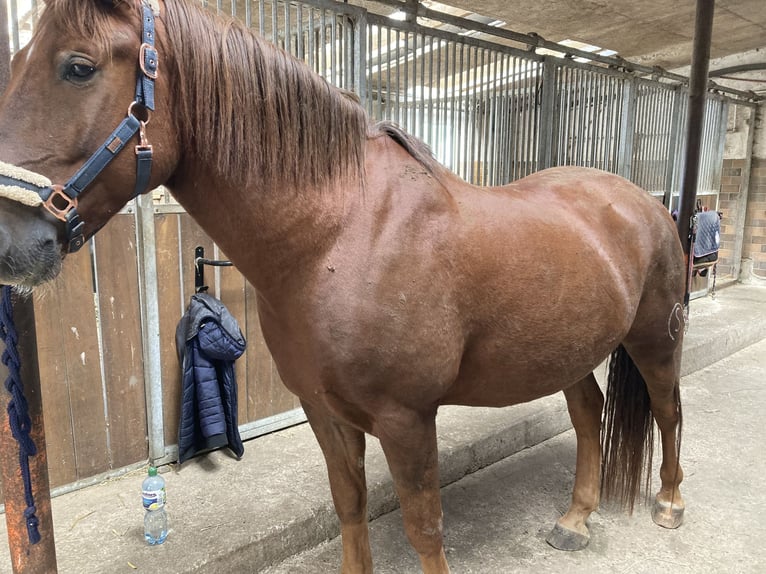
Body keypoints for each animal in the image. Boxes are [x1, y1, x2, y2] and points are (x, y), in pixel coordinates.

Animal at [0, 1, 685, 572]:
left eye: (78, 67)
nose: (10, 243)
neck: (339, 236)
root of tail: (641, 201)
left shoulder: (407, 420)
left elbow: (424, 529)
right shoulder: (324, 410)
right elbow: (350, 508)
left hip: (655, 338)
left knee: (668, 410)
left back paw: (670, 503)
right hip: (569, 349)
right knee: (589, 414)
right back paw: (575, 519)